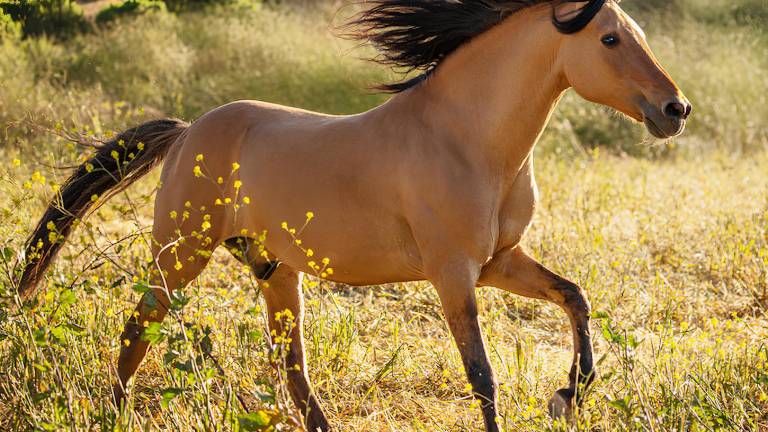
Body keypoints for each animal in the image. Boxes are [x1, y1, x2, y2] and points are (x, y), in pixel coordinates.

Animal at [16, 0, 690, 430]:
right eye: (609, 39)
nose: (674, 109)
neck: (467, 138)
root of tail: (186, 133)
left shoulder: (499, 262)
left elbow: (575, 298)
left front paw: (567, 396)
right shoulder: (453, 274)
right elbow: (483, 375)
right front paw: (559, 396)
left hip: (275, 271)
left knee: (292, 370)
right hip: (182, 255)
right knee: (138, 329)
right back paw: (114, 412)